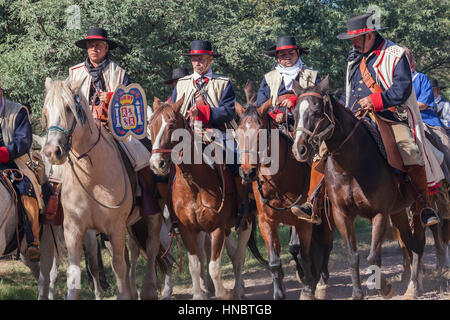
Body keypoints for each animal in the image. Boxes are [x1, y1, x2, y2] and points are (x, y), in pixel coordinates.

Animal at [41, 78, 163, 300]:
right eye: (46, 111)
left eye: (69, 109)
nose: (52, 152)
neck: (92, 175)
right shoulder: (74, 230)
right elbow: (75, 273)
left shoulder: (115, 227)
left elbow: (119, 267)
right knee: (133, 251)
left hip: (152, 216)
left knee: (150, 248)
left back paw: (149, 289)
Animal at [149, 96, 251, 298]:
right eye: (150, 125)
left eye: (171, 126)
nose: (157, 164)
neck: (194, 185)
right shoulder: (187, 229)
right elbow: (195, 265)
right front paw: (198, 294)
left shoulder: (217, 228)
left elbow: (214, 267)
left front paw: (224, 293)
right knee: (231, 253)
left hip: (247, 221)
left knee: (239, 256)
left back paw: (238, 289)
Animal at [234, 97, 322, 300]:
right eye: (238, 134)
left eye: (260, 133)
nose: (247, 172)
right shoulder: (266, 222)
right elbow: (274, 262)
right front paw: (279, 293)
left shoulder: (303, 221)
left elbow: (303, 253)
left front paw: (308, 288)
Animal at [290, 77, 428, 300]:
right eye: (294, 114)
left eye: (317, 110)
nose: (299, 149)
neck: (351, 167)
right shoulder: (341, 214)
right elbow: (352, 256)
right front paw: (357, 293)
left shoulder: (379, 214)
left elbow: (372, 257)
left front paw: (385, 287)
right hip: (398, 212)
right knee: (410, 242)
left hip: (416, 207)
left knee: (419, 242)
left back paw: (414, 286)